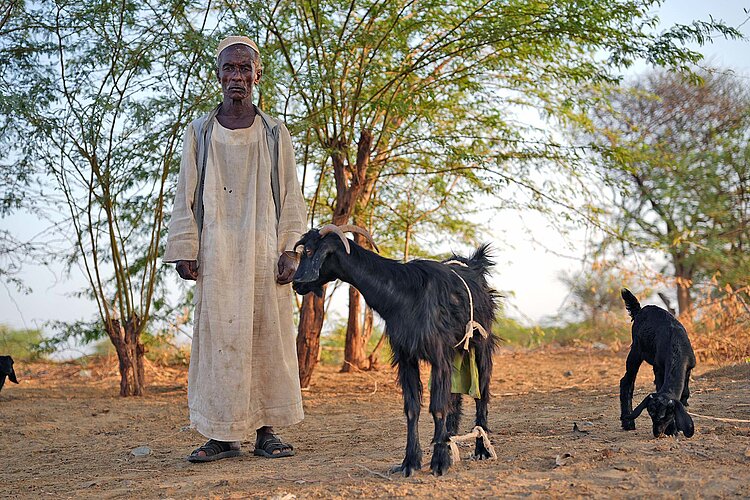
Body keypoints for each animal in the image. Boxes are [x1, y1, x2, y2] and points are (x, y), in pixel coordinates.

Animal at [293, 225, 499, 476]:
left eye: (309, 251)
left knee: (482, 394)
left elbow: (438, 408)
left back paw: (481, 449)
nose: (296, 283)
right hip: (458, 350)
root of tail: (475, 264)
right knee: (456, 396)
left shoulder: (439, 355)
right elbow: (412, 409)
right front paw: (410, 461)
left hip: (481, 344)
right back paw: (450, 440)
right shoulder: (406, 357)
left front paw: (439, 462)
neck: (404, 294)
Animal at [619, 288, 695, 438]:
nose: (657, 433)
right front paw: (672, 430)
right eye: (650, 414)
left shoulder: (689, 368)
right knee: (626, 382)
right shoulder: (659, 368)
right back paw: (628, 423)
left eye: (666, 416)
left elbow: (684, 393)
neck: (676, 345)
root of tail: (640, 310)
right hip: (636, 351)